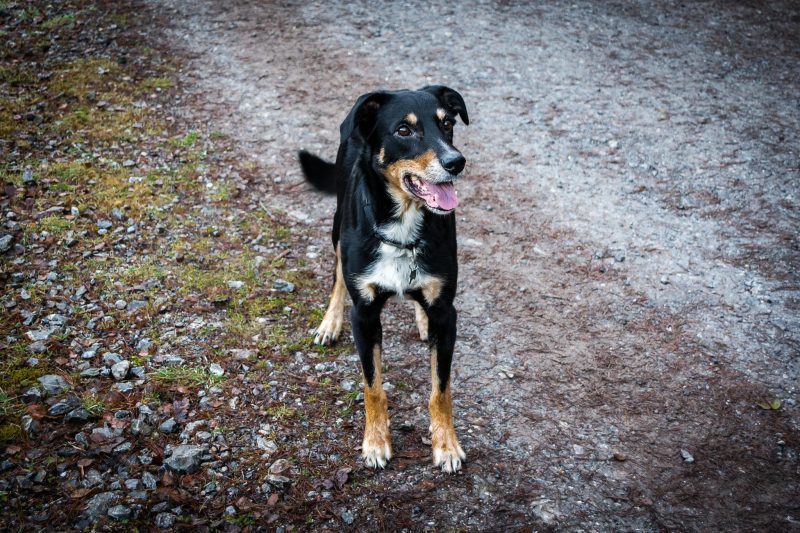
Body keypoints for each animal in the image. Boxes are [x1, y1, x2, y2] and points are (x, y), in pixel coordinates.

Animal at [300, 87, 468, 474]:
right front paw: (375, 443)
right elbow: (373, 387)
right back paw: (329, 323)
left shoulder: (446, 314)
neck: (403, 228)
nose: (456, 162)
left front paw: (446, 445)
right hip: (337, 228)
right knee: (337, 276)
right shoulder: (364, 315)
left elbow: (441, 390)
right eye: (404, 131)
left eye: (447, 124)